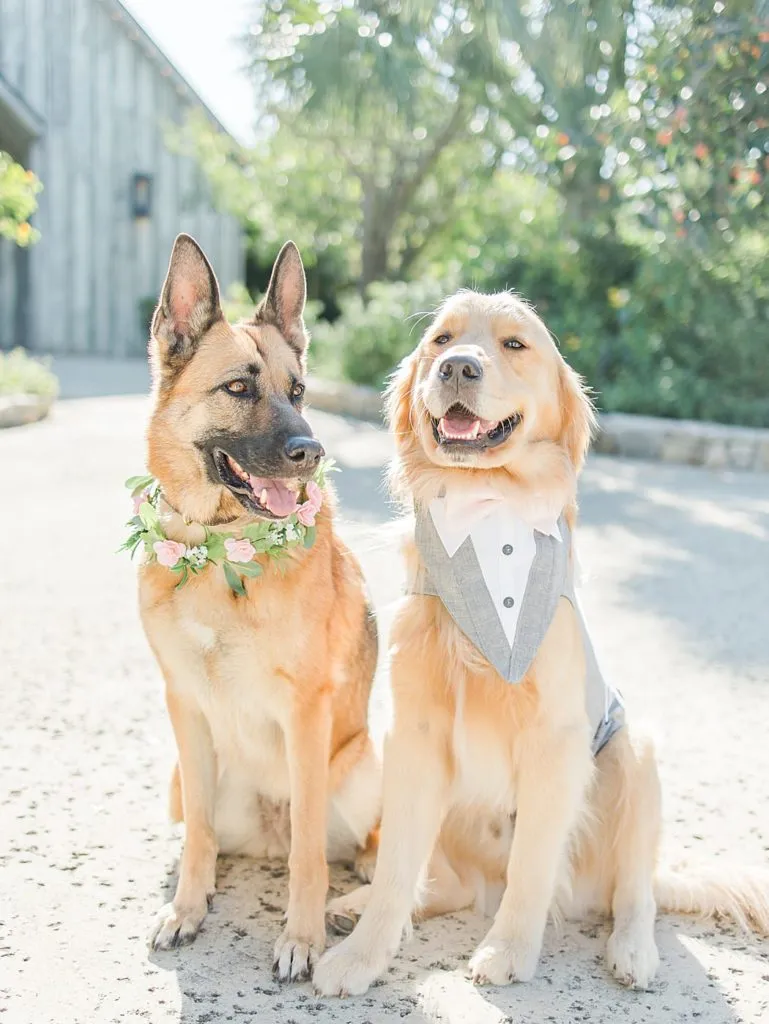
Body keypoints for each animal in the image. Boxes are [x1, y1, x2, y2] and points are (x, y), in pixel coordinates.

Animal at [141, 235, 382, 978]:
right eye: (239, 388)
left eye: (299, 391)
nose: (312, 452)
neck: (222, 554)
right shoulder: (182, 705)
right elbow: (197, 839)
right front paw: (187, 909)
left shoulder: (305, 713)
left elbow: (309, 853)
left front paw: (299, 937)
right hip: (178, 780)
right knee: (212, 834)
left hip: (361, 768)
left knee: (375, 854)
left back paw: (353, 900)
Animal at [313, 286, 769, 991]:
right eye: (442, 340)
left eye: (514, 344)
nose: (457, 368)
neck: (484, 514)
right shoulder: (413, 735)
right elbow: (395, 870)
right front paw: (363, 954)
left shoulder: (557, 741)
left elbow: (532, 865)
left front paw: (507, 951)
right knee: (442, 882)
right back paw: (355, 906)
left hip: (635, 752)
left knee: (635, 890)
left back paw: (632, 949)